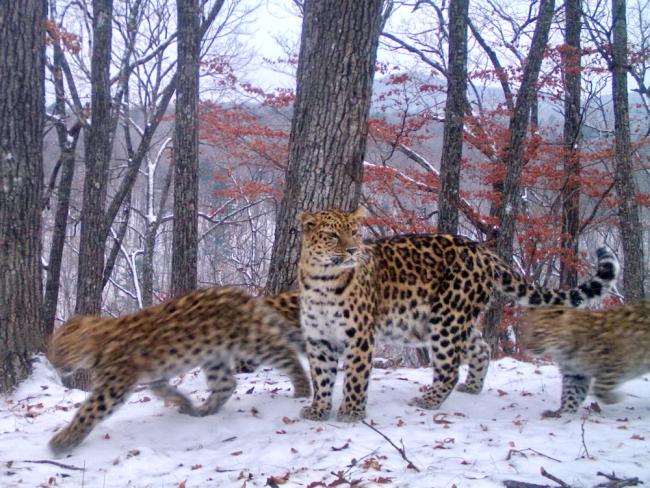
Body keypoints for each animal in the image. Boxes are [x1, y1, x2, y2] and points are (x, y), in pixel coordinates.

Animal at [46, 286, 308, 454]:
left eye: (62, 349)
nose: (54, 364)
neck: (100, 343)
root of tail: (246, 296)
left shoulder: (112, 388)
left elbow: (87, 412)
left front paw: (62, 442)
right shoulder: (155, 376)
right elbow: (162, 390)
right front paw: (185, 403)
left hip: (253, 343)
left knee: (287, 354)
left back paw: (302, 389)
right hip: (214, 356)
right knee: (226, 384)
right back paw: (203, 411)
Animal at [296, 208, 616, 422]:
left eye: (354, 232)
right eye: (332, 234)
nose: (352, 250)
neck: (322, 280)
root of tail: (484, 252)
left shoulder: (360, 336)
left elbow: (355, 375)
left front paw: (351, 412)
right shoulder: (318, 338)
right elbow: (321, 377)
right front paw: (319, 409)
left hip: (448, 317)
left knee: (449, 368)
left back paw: (428, 400)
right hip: (450, 318)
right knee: (481, 348)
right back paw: (472, 387)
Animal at [520, 300, 648, 418]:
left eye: (537, 333)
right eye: (525, 331)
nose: (526, 347)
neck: (565, 350)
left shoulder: (615, 362)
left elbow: (600, 387)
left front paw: (615, 398)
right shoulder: (575, 374)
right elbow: (571, 395)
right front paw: (563, 414)